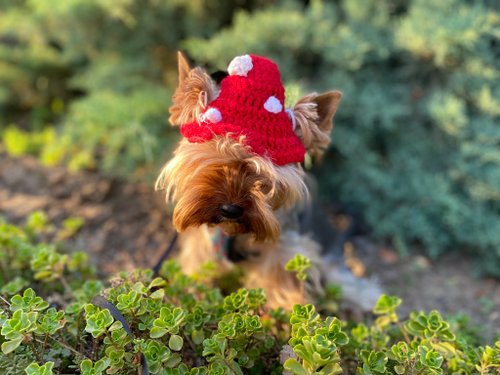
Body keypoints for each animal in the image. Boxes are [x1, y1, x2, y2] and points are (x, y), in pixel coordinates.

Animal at [156, 53, 340, 310]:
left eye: (263, 178)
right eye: (215, 162)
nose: (230, 209)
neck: (232, 234)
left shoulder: (284, 249)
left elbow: (282, 283)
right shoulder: (203, 245)